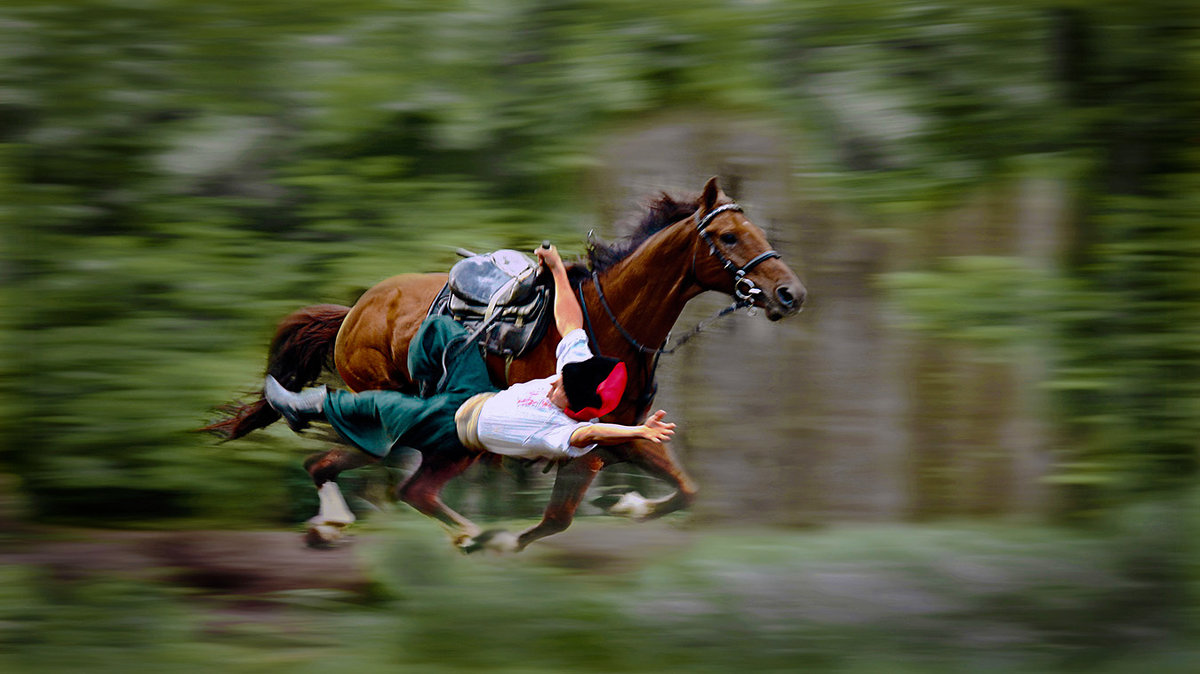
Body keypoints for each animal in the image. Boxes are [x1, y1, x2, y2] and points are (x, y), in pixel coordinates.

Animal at [208, 178, 806, 551]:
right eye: (729, 236)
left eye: (759, 232)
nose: (791, 293)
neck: (611, 320)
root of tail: (353, 312)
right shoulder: (579, 442)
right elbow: (558, 516)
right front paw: (507, 540)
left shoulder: (622, 434)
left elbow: (685, 489)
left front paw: (632, 506)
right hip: (408, 420)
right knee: (361, 470)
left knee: (345, 468)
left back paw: (342, 524)